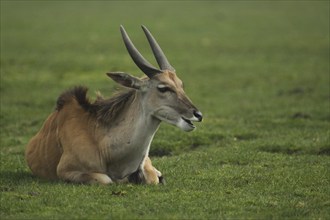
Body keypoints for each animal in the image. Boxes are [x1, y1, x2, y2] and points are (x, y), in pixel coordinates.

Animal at [25, 24, 201, 185]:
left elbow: (152, 178)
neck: (103, 145)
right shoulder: (66, 171)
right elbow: (107, 180)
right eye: (163, 88)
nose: (197, 114)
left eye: (181, 85)